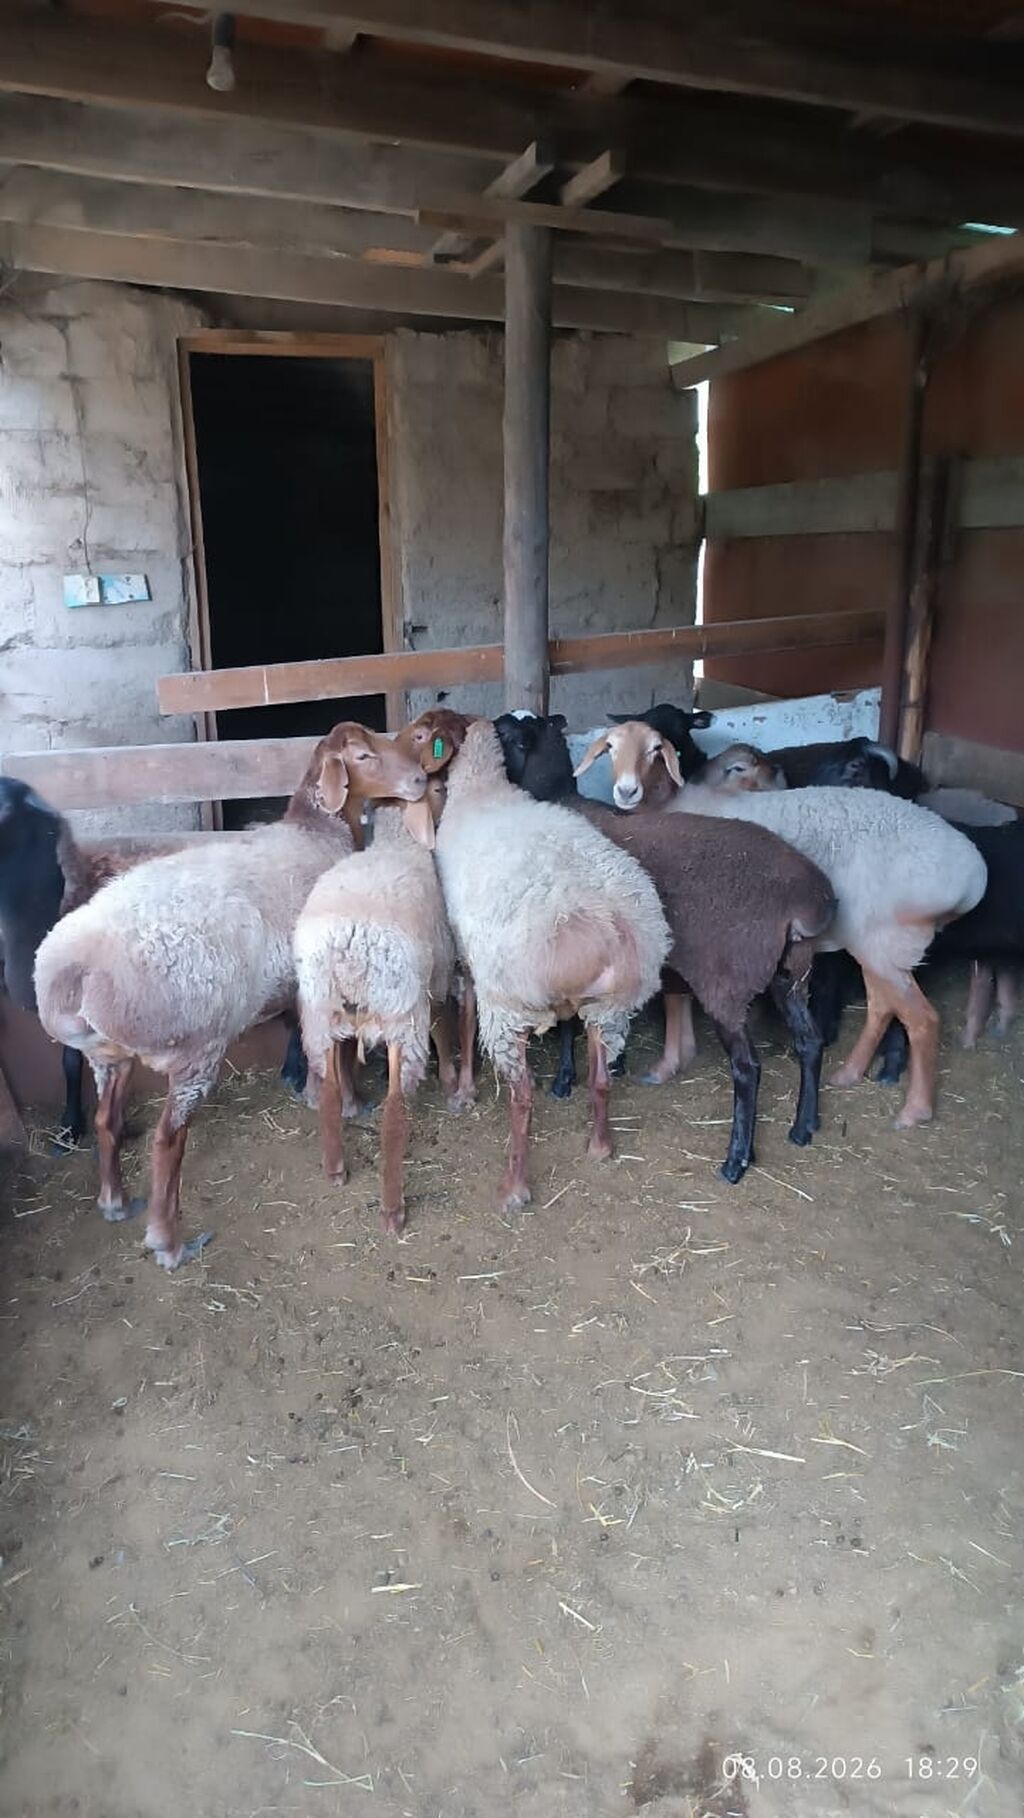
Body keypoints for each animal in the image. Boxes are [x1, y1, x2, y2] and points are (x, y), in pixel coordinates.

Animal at [34, 724, 429, 1269]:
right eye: (364, 755)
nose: (419, 779)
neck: (315, 830)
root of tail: (66, 973)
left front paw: (314, 1089)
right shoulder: (317, 984)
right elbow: (339, 1052)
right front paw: (347, 1101)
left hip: (110, 1056)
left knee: (106, 1119)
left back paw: (115, 1202)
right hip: (193, 1049)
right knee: (166, 1141)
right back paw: (169, 1243)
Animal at [295, 709, 474, 1232]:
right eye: (439, 788)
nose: (418, 780)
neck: (398, 843)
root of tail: (349, 947)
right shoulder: (434, 975)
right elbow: (444, 1027)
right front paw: (451, 1078)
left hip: (320, 1011)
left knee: (330, 1092)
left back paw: (335, 1168)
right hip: (399, 1013)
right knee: (395, 1113)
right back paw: (394, 1208)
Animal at [434, 719, 670, 1210]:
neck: (483, 786)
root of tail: (607, 924)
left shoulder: (470, 962)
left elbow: (465, 1018)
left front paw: (464, 1091)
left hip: (510, 1008)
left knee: (523, 1099)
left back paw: (514, 1188)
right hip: (609, 1009)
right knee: (601, 1079)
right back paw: (599, 1147)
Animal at [497, 713, 837, 1181]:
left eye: (506, 735)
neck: (557, 795)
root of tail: (805, 900)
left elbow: (568, 1025)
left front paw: (565, 1079)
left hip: (727, 981)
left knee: (748, 1069)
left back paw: (736, 1160)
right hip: (790, 973)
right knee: (810, 1042)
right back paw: (804, 1126)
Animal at [578, 721, 988, 1128]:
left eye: (655, 749)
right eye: (609, 747)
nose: (626, 790)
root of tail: (972, 878)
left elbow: (675, 998)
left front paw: (668, 1062)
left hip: (887, 944)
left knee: (922, 1020)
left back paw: (914, 1108)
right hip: (879, 948)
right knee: (882, 1008)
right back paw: (850, 1073)